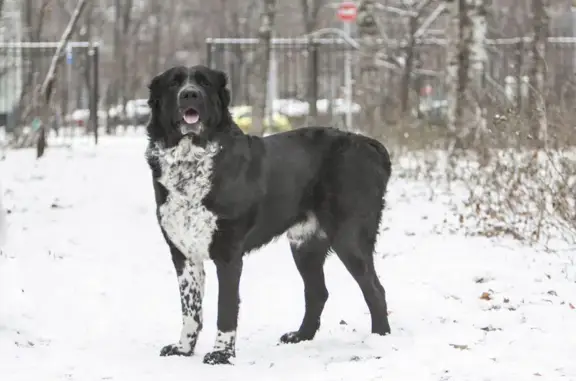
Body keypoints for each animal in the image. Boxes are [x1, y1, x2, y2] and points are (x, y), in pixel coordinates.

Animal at [146, 65, 394, 366]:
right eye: (174, 84)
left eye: (203, 83)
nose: (189, 94)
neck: (191, 160)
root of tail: (370, 145)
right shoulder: (183, 254)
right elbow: (191, 309)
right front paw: (183, 349)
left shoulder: (228, 254)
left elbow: (225, 308)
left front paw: (221, 354)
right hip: (305, 245)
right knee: (317, 292)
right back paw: (301, 336)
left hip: (350, 239)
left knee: (375, 290)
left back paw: (380, 339)